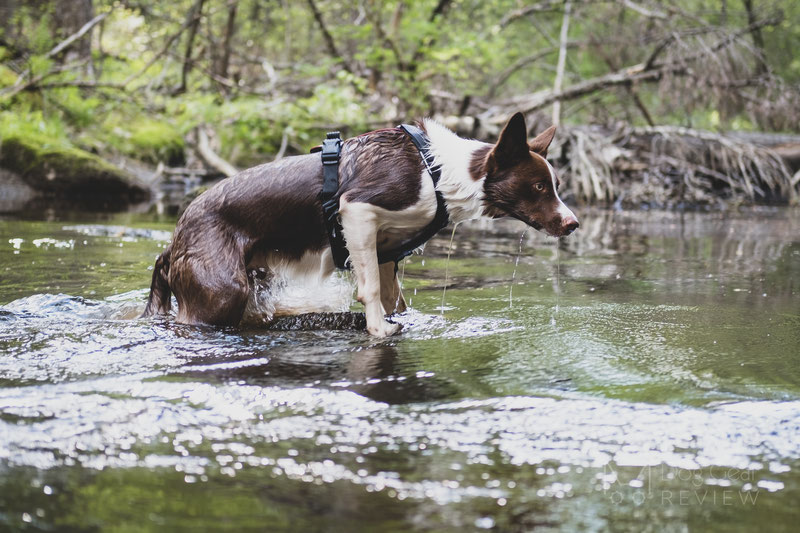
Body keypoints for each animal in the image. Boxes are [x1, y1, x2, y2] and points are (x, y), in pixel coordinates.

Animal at [144, 112, 580, 336]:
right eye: (539, 186)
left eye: (556, 185)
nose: (573, 223)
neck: (440, 174)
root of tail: (173, 242)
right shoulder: (356, 211)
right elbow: (369, 291)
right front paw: (378, 331)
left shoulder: (386, 249)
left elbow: (393, 299)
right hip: (222, 291)